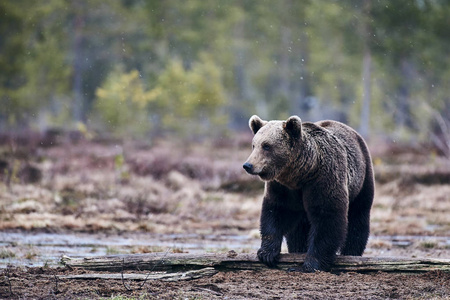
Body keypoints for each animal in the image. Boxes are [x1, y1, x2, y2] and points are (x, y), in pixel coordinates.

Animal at [244, 115, 374, 272]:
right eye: (254, 145)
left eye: (266, 146)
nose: (248, 165)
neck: (302, 174)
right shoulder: (282, 187)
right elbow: (275, 211)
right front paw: (266, 254)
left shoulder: (324, 179)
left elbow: (327, 217)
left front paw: (311, 263)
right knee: (298, 229)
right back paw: (298, 250)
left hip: (362, 179)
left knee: (358, 218)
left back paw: (351, 253)